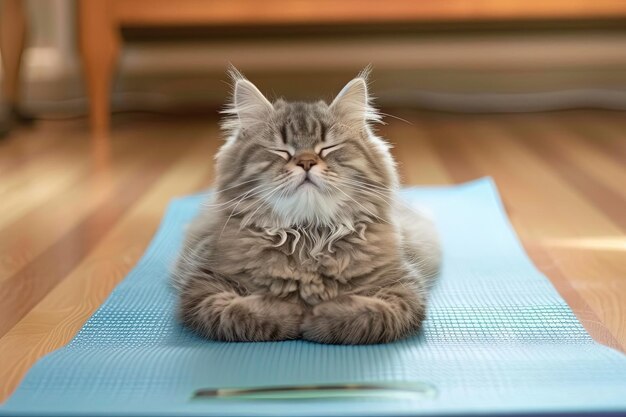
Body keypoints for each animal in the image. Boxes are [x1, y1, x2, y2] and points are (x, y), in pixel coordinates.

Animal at [172, 69, 438, 344]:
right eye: (281, 151)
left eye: (328, 148)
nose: (307, 162)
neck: (307, 236)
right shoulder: (200, 283)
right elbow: (233, 312)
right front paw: (290, 312)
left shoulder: (405, 286)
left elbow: (373, 314)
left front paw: (317, 318)